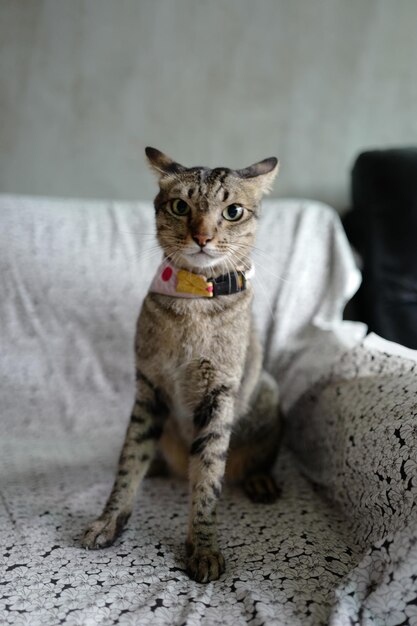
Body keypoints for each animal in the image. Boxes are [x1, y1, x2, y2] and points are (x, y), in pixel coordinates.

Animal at [81, 146, 282, 580]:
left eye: (233, 211)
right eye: (180, 206)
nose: (202, 237)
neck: (194, 300)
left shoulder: (219, 393)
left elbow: (208, 476)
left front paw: (203, 548)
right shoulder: (148, 387)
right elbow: (129, 461)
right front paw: (109, 520)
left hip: (267, 392)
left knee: (258, 457)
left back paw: (260, 479)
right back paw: (160, 464)